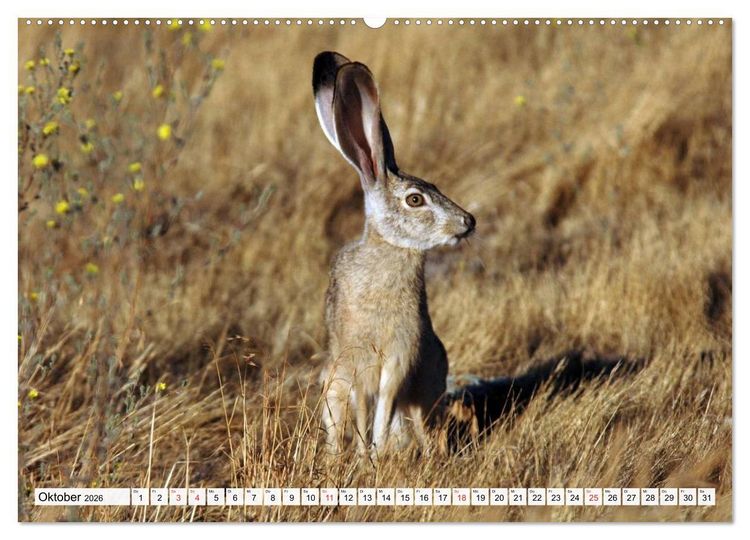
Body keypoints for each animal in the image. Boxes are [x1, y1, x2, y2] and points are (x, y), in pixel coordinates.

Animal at [313, 51, 476, 459]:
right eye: (415, 200)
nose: (468, 222)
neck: (390, 247)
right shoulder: (357, 360)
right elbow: (364, 406)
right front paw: (364, 456)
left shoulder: (402, 356)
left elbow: (385, 403)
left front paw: (376, 452)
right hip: (332, 384)